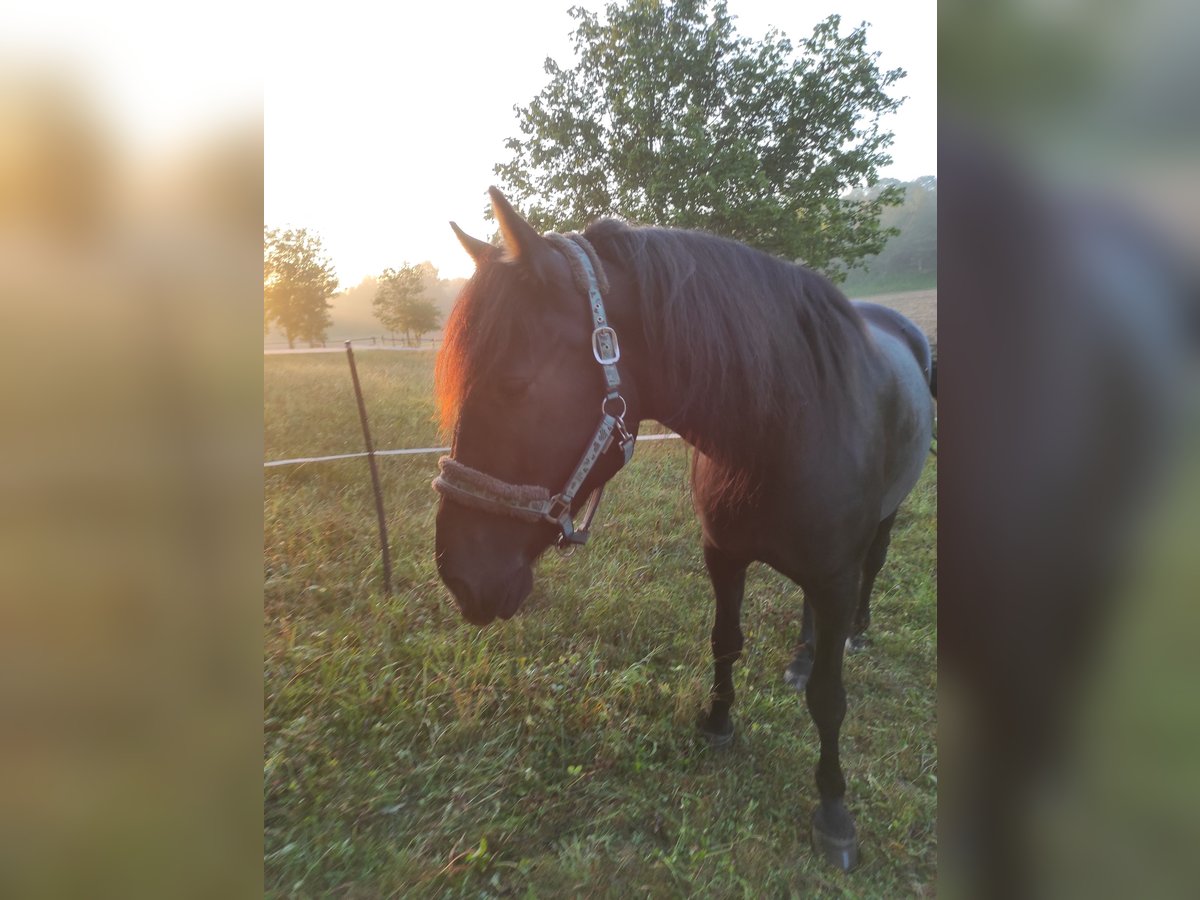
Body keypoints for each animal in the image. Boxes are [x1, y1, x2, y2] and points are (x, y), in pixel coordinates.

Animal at [434, 190, 936, 873]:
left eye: (512, 385)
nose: (458, 574)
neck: (786, 425)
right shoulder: (723, 556)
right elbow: (725, 642)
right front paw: (718, 724)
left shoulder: (835, 575)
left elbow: (830, 699)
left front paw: (834, 811)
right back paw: (801, 657)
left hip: (877, 532)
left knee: (872, 572)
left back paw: (856, 634)